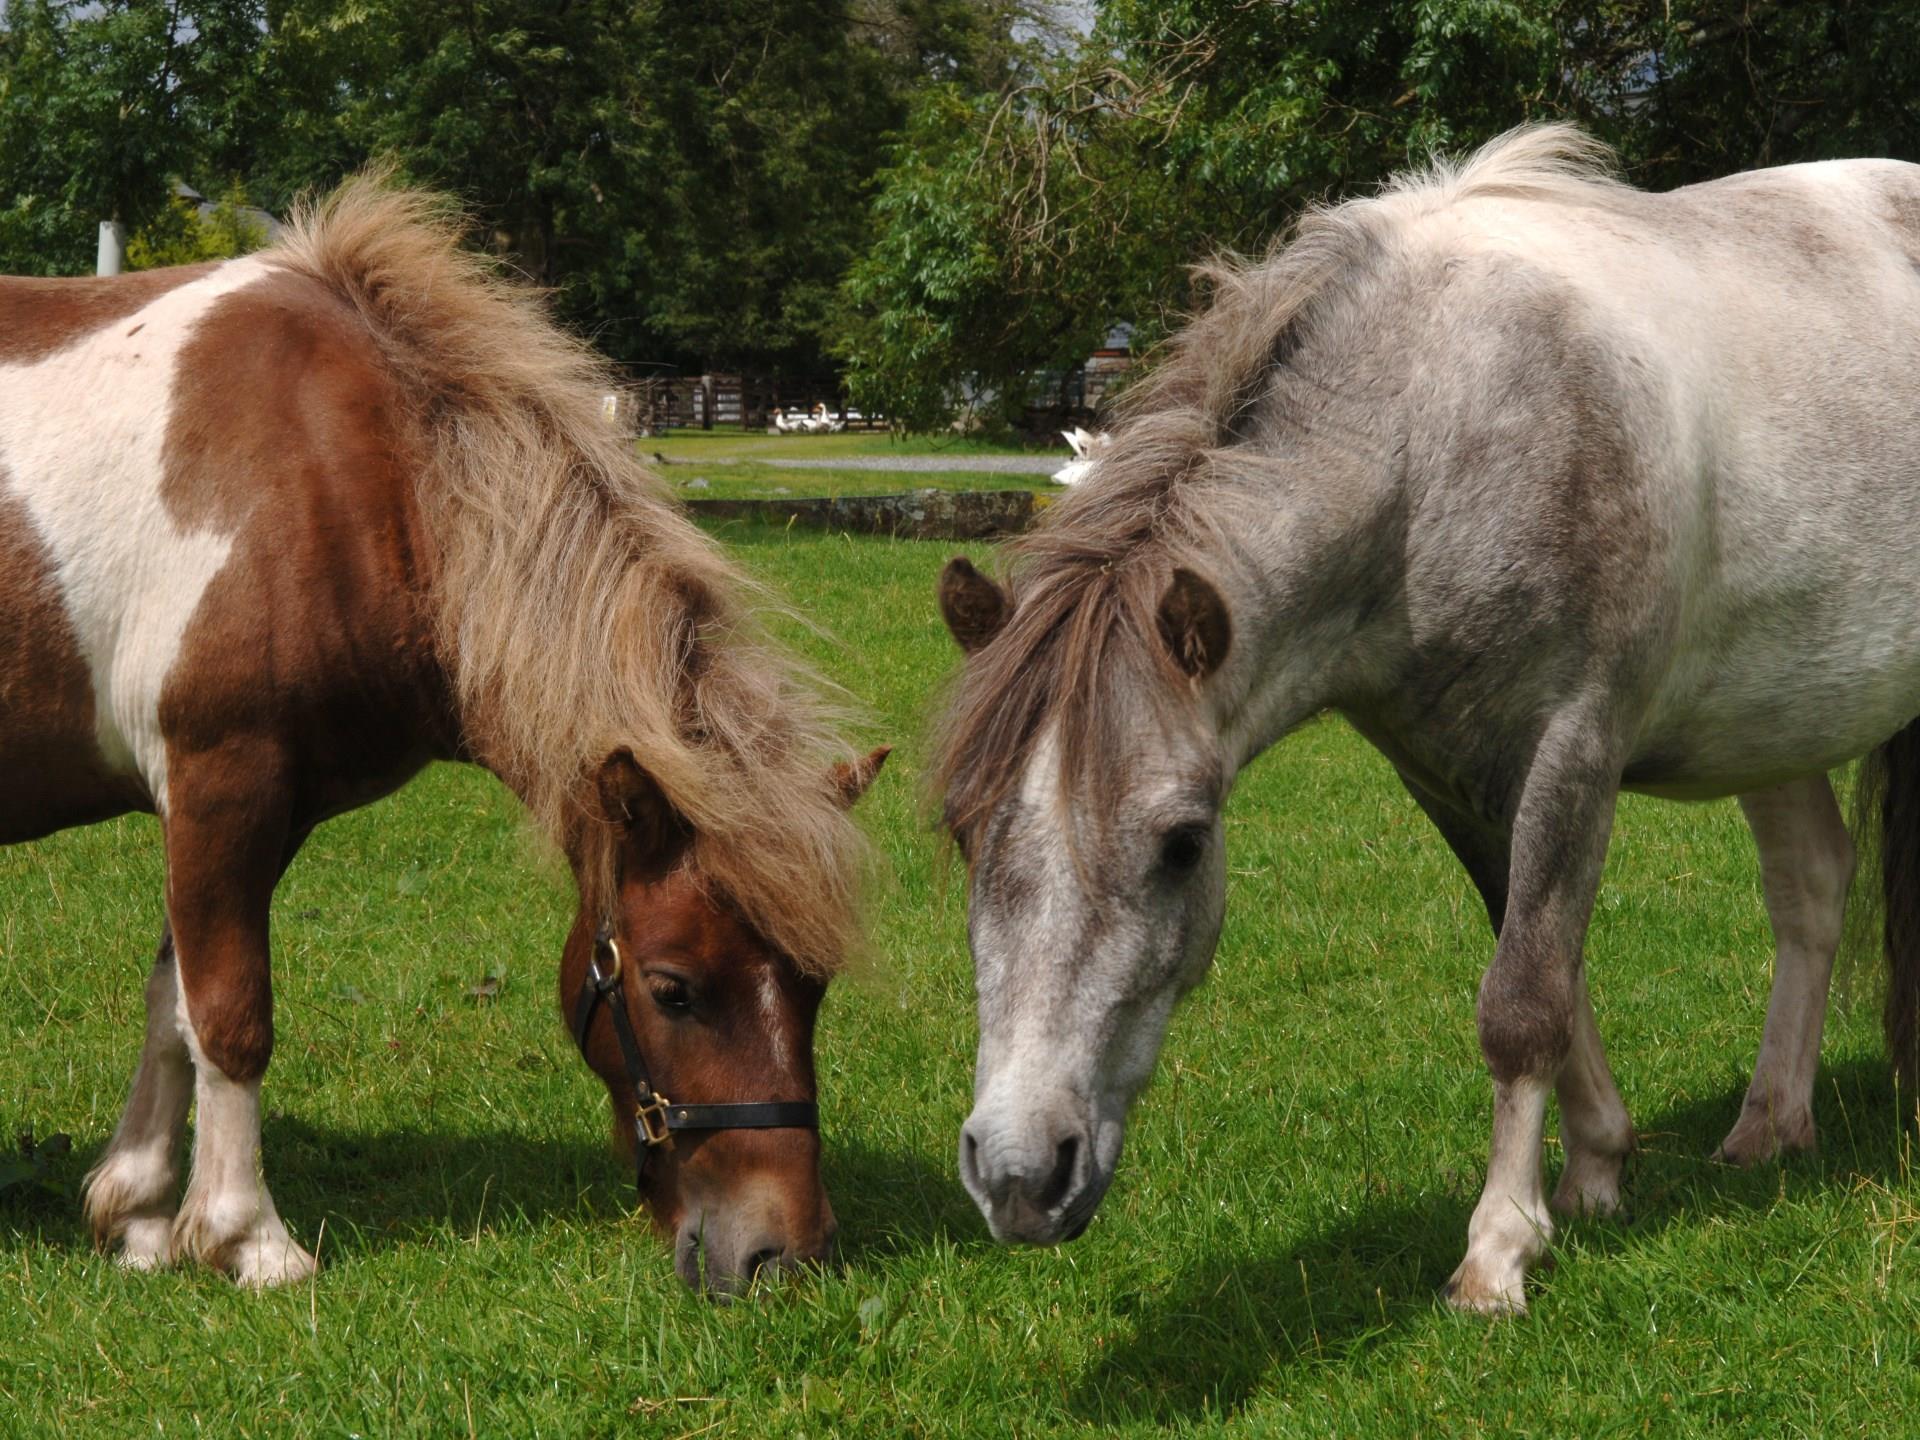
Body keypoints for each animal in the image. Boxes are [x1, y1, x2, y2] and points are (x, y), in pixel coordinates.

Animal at [0, 177, 883, 1297]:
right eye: (672, 989)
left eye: (814, 985)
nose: (780, 1254)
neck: (348, 474)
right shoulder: (223, 781)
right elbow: (233, 1015)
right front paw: (250, 1239)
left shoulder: (260, 812)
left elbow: (176, 1004)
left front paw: (140, 1215)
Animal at [936, 129, 1920, 1313]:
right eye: (959, 832)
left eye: (1182, 846)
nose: (1021, 1173)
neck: (1438, 433)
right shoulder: (1450, 779)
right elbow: (1545, 967)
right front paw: (1593, 1172)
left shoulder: (1571, 754)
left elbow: (1525, 1002)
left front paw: (1498, 1252)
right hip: (1771, 722)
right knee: (1812, 884)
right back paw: (1772, 1124)